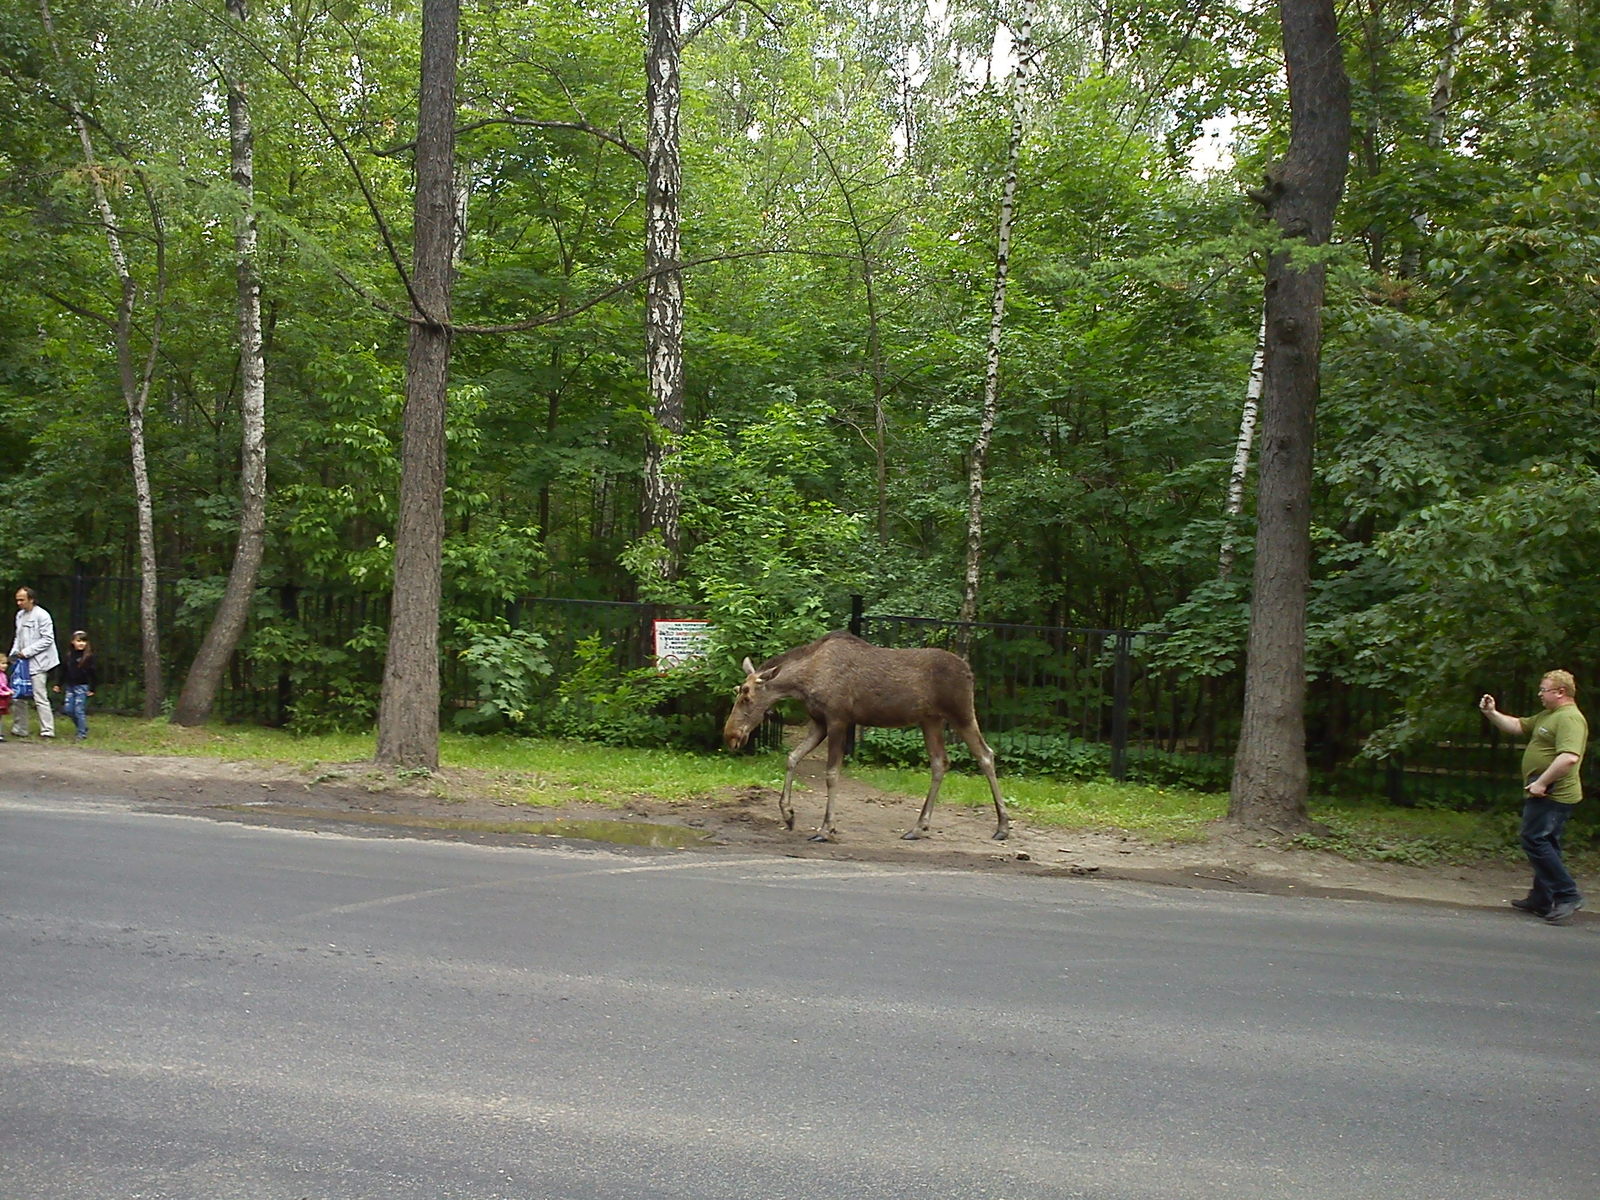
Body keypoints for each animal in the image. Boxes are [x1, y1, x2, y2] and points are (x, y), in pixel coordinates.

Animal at [723, 630, 1004, 844]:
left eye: (746, 695)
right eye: (738, 690)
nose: (730, 735)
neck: (802, 683)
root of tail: (969, 672)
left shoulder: (838, 720)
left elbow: (831, 774)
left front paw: (826, 829)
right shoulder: (819, 723)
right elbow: (792, 757)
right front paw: (789, 814)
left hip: (961, 713)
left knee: (985, 755)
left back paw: (1002, 827)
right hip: (930, 720)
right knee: (940, 762)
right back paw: (918, 827)